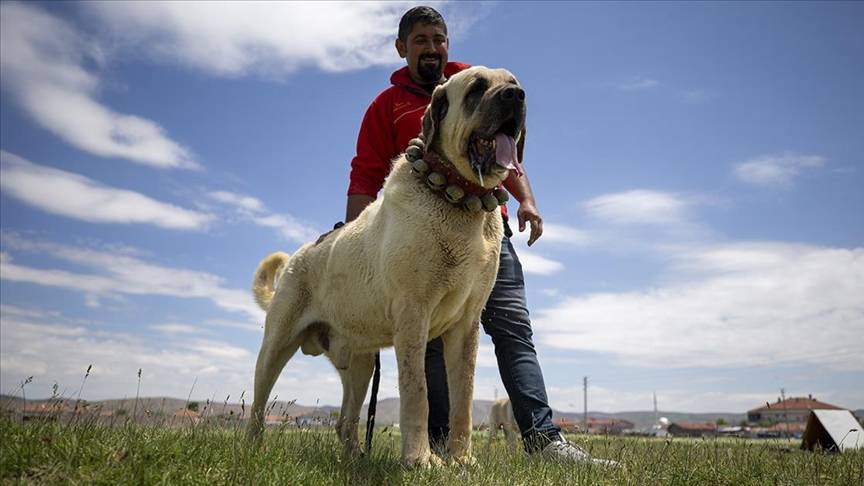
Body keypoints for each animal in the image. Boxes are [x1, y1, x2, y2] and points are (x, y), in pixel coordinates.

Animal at [245, 65, 528, 468]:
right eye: (476, 88)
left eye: (514, 84)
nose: (516, 96)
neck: (460, 197)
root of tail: (297, 258)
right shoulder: (413, 314)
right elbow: (418, 392)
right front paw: (420, 459)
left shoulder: (466, 325)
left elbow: (463, 395)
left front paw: (461, 459)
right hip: (276, 345)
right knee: (256, 406)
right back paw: (253, 450)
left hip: (361, 364)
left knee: (346, 421)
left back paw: (354, 459)